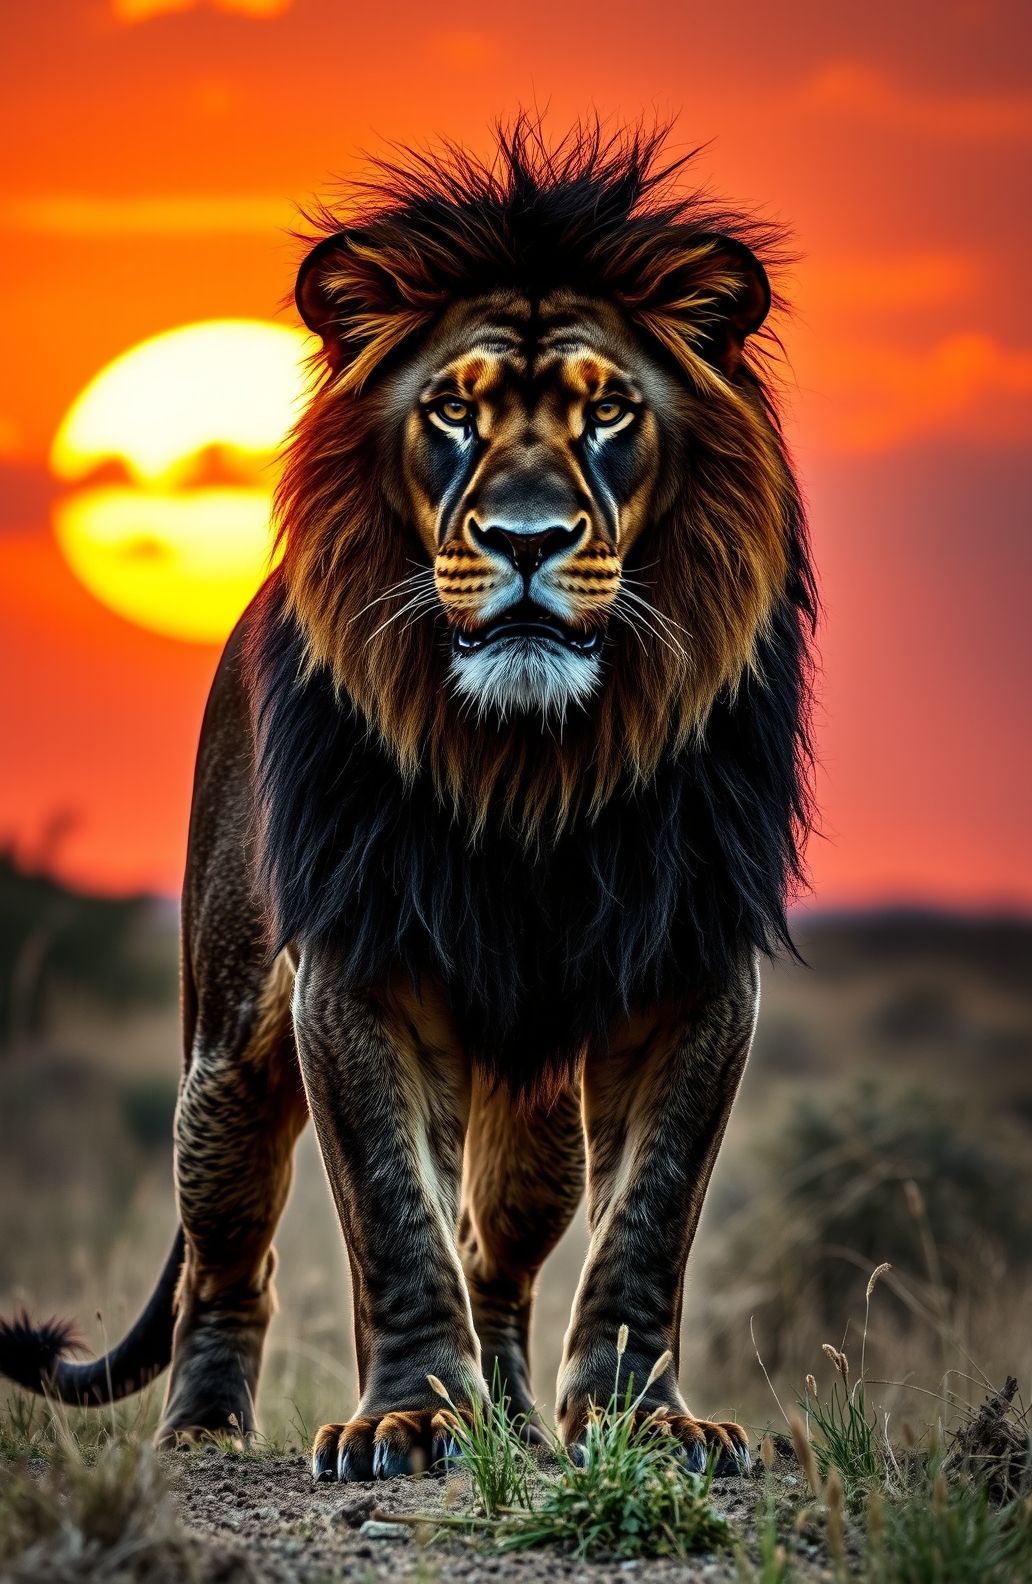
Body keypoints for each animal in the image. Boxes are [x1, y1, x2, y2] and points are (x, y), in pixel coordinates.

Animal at [0, 119, 816, 1482]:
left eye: (609, 410)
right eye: (451, 410)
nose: (527, 538)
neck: (532, 762)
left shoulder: (695, 963)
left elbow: (649, 1223)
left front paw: (649, 1423)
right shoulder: (358, 961)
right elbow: (391, 1214)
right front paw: (412, 1419)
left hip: (531, 1114)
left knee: (500, 1252)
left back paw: (516, 1423)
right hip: (225, 1052)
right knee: (228, 1258)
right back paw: (205, 1437)